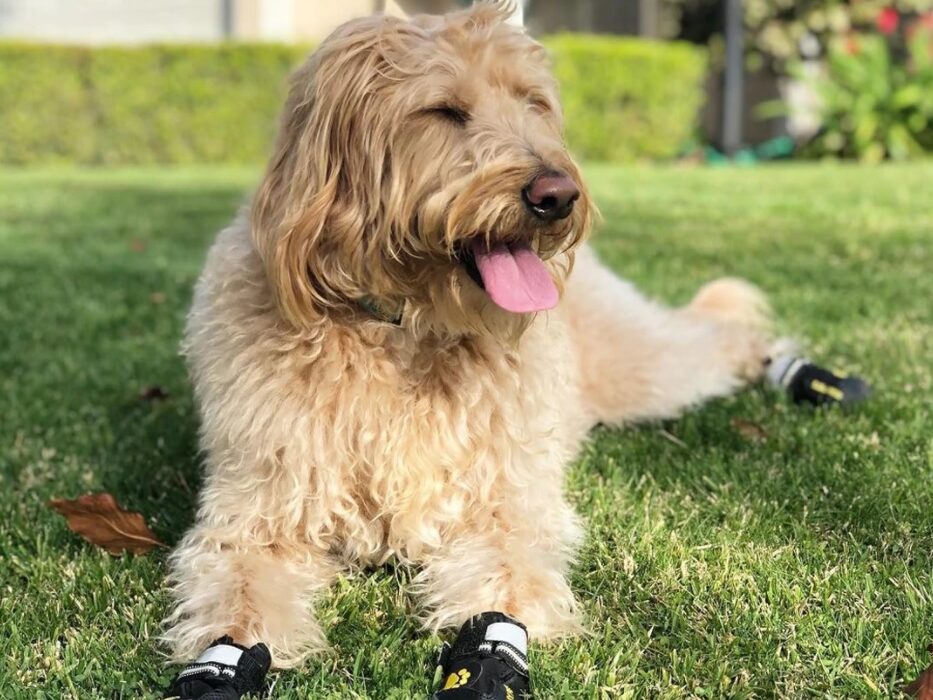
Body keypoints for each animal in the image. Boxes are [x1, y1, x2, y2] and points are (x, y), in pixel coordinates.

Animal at [166, 2, 772, 696]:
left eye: (533, 102)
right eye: (443, 111)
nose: (558, 195)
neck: (403, 327)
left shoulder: (503, 504)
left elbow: (506, 585)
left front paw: (491, 652)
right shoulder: (257, 514)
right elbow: (238, 597)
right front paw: (223, 663)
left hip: (638, 369)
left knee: (707, 339)